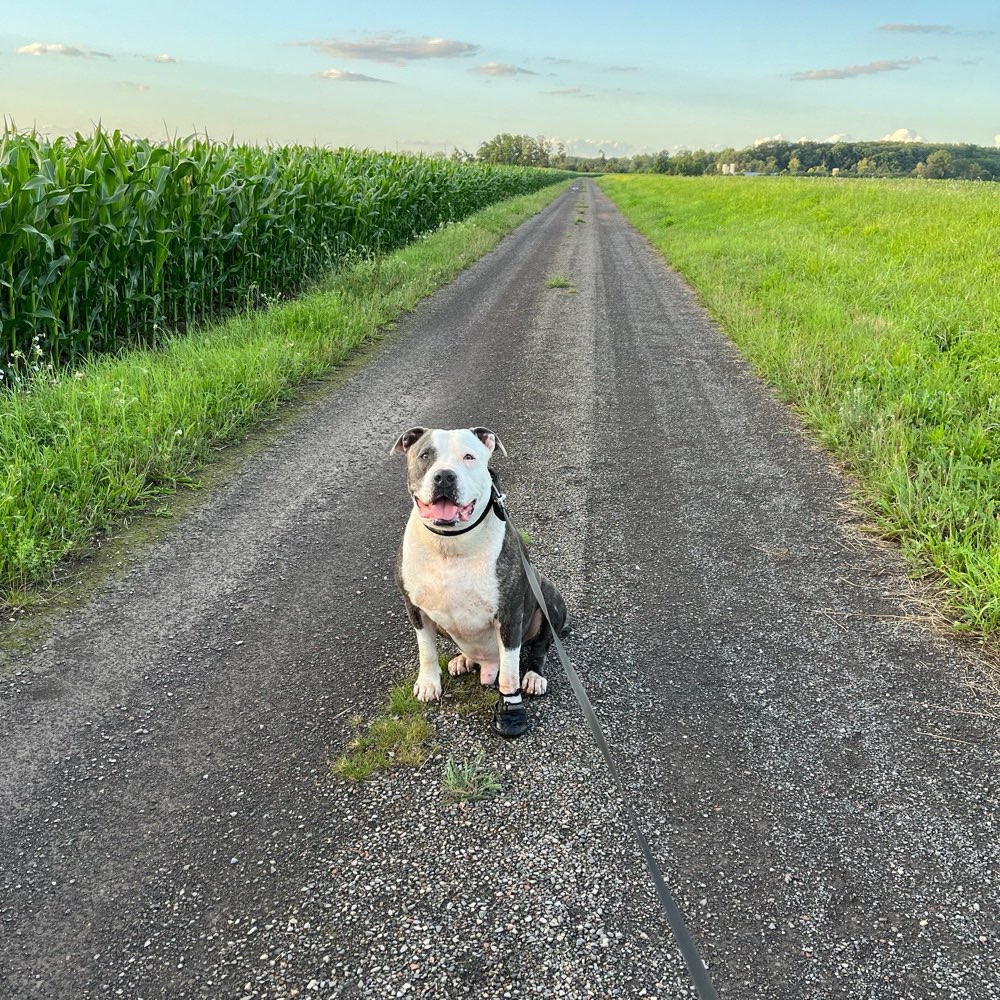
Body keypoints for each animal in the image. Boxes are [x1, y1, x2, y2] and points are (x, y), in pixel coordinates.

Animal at [392, 426, 572, 740]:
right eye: (425, 455)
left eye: (469, 456)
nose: (444, 476)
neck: (449, 544)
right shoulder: (415, 608)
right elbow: (426, 650)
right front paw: (428, 683)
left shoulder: (509, 614)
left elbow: (510, 671)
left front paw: (511, 711)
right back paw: (464, 659)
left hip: (547, 593)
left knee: (540, 646)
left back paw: (534, 676)